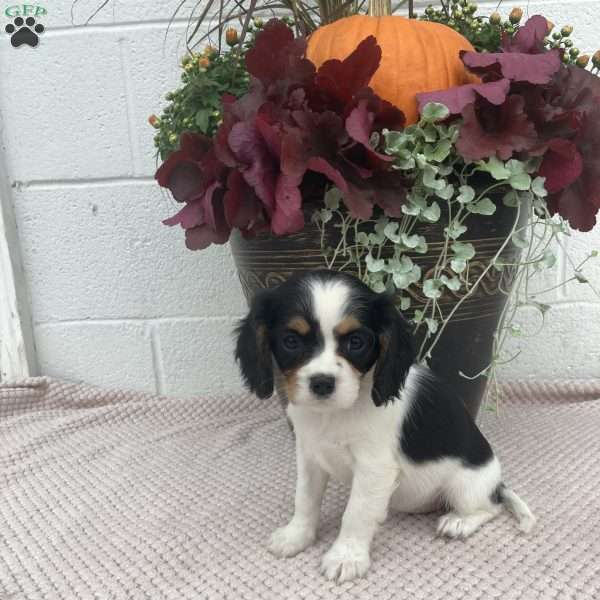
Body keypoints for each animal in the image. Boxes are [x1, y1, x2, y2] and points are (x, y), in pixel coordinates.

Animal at [234, 270, 536, 580]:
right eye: (291, 341)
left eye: (356, 342)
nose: (322, 383)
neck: (334, 414)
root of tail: (497, 482)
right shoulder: (309, 455)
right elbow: (305, 499)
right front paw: (296, 536)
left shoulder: (374, 468)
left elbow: (356, 512)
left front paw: (346, 556)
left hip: (465, 485)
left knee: (490, 507)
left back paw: (459, 522)